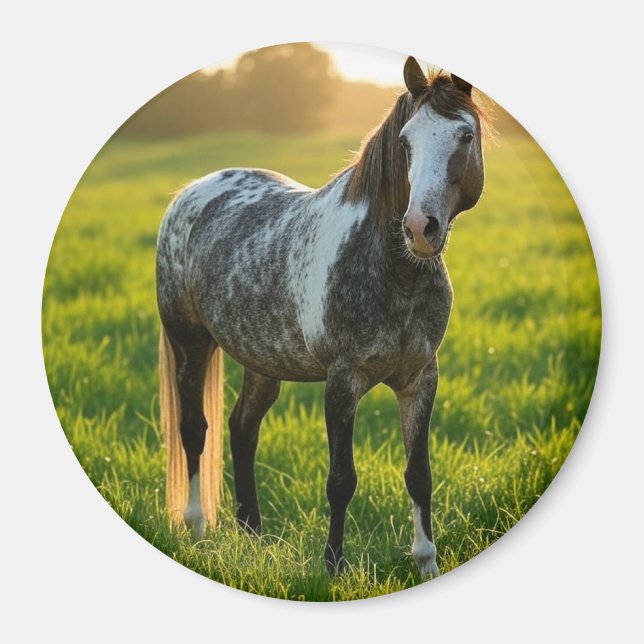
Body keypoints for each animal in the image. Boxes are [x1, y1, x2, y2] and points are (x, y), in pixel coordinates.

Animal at [156, 56, 485, 579]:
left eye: (465, 136)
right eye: (406, 141)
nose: (420, 228)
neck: (395, 273)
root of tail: (190, 193)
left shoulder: (420, 379)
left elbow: (419, 474)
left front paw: (427, 563)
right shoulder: (342, 380)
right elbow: (341, 479)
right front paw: (333, 567)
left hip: (261, 362)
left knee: (242, 428)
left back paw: (253, 534)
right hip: (190, 344)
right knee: (194, 429)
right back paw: (197, 529)